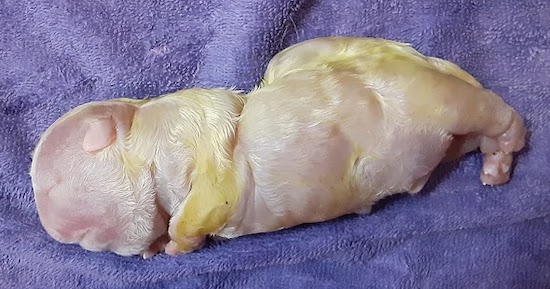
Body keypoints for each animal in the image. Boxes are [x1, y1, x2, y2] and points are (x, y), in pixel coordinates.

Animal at [29, 36, 528, 256]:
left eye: (48, 185)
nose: (52, 229)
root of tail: (427, 61)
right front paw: (158, 243)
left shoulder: (196, 136)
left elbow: (205, 203)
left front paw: (174, 244)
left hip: (439, 99)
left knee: (495, 113)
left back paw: (503, 154)